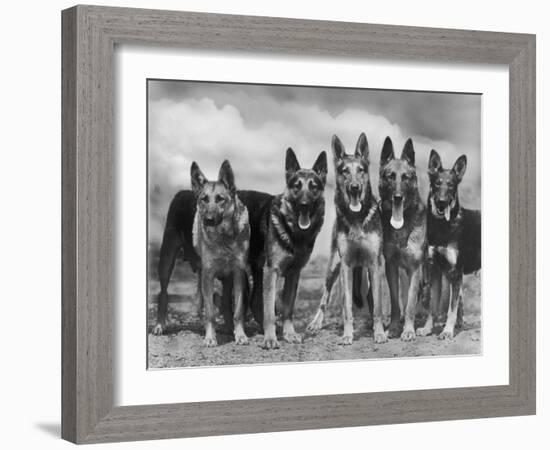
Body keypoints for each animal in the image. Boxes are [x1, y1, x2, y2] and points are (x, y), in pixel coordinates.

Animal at [258, 148, 328, 348]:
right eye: (297, 186)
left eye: (313, 187)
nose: (304, 205)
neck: (295, 234)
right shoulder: (271, 271)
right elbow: (270, 311)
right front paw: (270, 338)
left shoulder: (294, 274)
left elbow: (288, 308)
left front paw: (289, 334)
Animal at [306, 134, 388, 344]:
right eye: (345, 171)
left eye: (361, 170)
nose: (354, 188)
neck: (357, 217)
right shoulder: (346, 266)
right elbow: (347, 305)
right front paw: (347, 334)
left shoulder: (375, 264)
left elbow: (377, 305)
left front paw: (379, 332)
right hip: (333, 267)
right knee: (325, 297)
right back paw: (316, 323)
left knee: (371, 299)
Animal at [418, 150, 484, 338]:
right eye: (437, 183)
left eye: (452, 186)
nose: (441, 202)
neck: (442, 227)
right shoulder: (435, 270)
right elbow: (433, 306)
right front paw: (427, 328)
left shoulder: (455, 272)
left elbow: (451, 309)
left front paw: (447, 331)